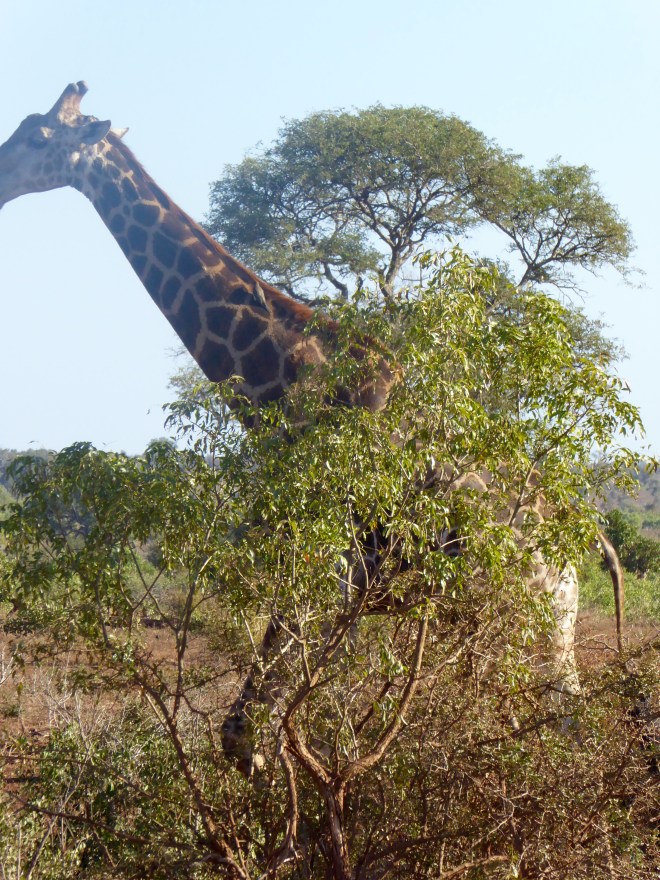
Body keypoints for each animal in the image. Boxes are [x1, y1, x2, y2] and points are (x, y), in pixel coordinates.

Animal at [0, 83, 623, 776]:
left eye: (38, 137)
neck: (289, 379)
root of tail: (586, 536)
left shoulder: (336, 560)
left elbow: (249, 732)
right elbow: (254, 731)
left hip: (533, 611)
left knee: (566, 715)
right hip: (506, 617)